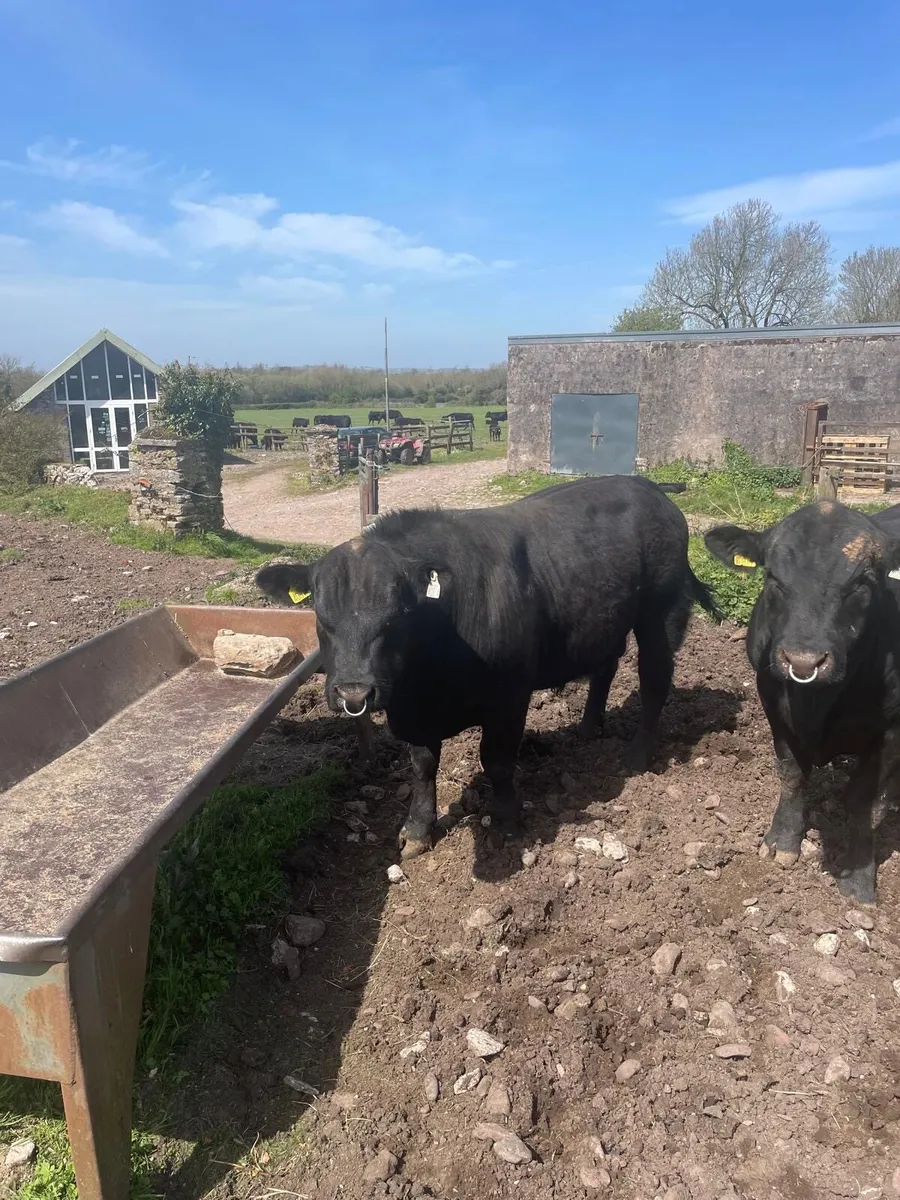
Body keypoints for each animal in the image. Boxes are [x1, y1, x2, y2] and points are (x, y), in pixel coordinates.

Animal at [257, 476, 720, 862]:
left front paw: (506, 820)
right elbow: (422, 766)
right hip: (604, 617)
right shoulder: (414, 715)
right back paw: (590, 727)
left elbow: (496, 761)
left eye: (399, 616)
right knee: (605, 666)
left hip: (660, 612)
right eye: (321, 616)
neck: (426, 683)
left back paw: (638, 755)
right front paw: (417, 830)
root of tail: (649, 485)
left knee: (655, 678)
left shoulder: (510, 695)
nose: (355, 694)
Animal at [704, 500, 900, 904]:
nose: (804, 661)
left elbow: (865, 801)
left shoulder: (893, 728)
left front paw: (859, 876)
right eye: (773, 577)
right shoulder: (774, 704)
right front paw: (782, 840)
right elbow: (792, 774)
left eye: (862, 582)